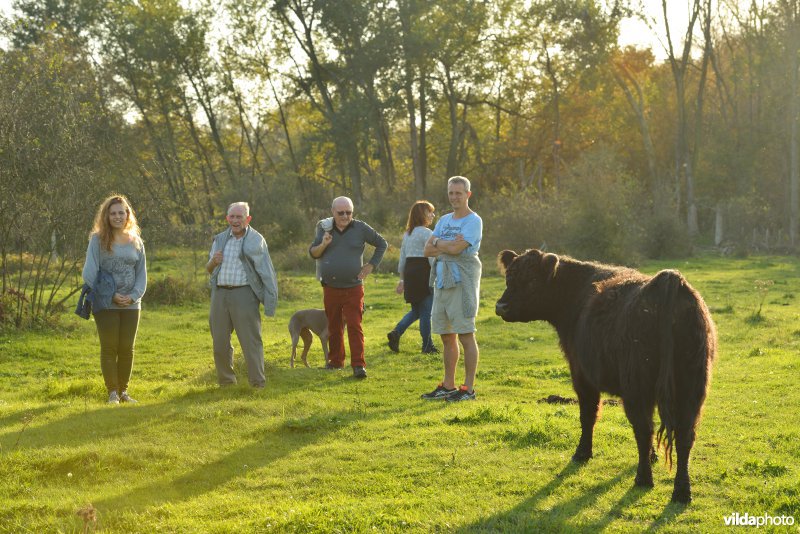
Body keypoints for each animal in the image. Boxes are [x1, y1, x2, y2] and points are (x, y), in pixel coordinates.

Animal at [496, 249, 716, 504]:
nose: (500, 306)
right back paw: (681, 491)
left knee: (643, 429)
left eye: (530, 280)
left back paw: (643, 479)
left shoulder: (582, 375)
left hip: (637, 387)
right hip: (691, 388)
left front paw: (582, 453)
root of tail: (667, 279)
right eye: (508, 277)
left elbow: (588, 416)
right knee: (684, 436)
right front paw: (653, 456)